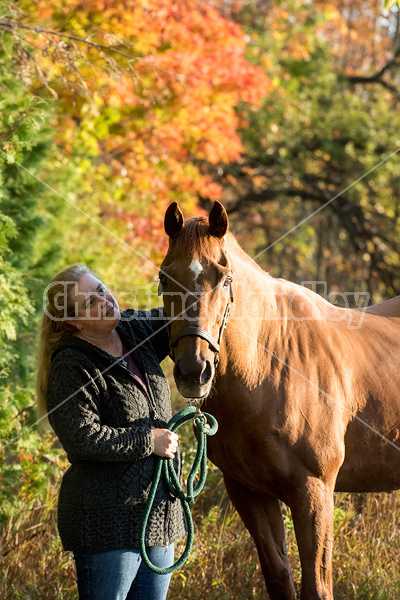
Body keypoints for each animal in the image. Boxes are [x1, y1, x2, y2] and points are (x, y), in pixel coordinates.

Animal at [159, 202, 400, 600]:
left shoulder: (314, 490)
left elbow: (317, 585)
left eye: (225, 279)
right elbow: (279, 577)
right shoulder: (250, 493)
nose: (194, 370)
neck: (270, 364)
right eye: (164, 279)